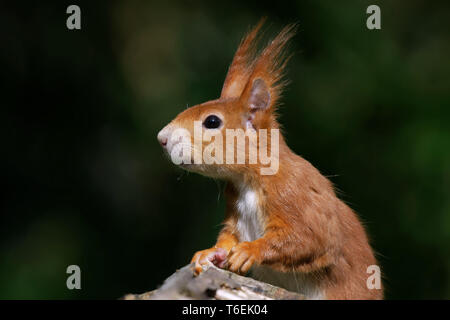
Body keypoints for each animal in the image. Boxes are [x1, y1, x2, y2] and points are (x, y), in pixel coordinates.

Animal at [157, 21, 384, 298]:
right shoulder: (236, 212)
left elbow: (309, 239)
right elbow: (229, 236)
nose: (161, 138)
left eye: (212, 121)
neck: (250, 180)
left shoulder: (296, 194)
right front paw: (209, 253)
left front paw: (249, 251)